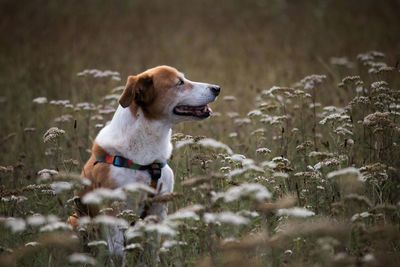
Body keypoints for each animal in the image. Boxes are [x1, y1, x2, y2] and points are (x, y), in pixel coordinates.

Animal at [67, 66, 220, 256]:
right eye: (179, 83)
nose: (217, 88)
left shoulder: (157, 209)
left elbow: (152, 253)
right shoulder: (114, 213)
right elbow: (118, 254)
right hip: (74, 221)